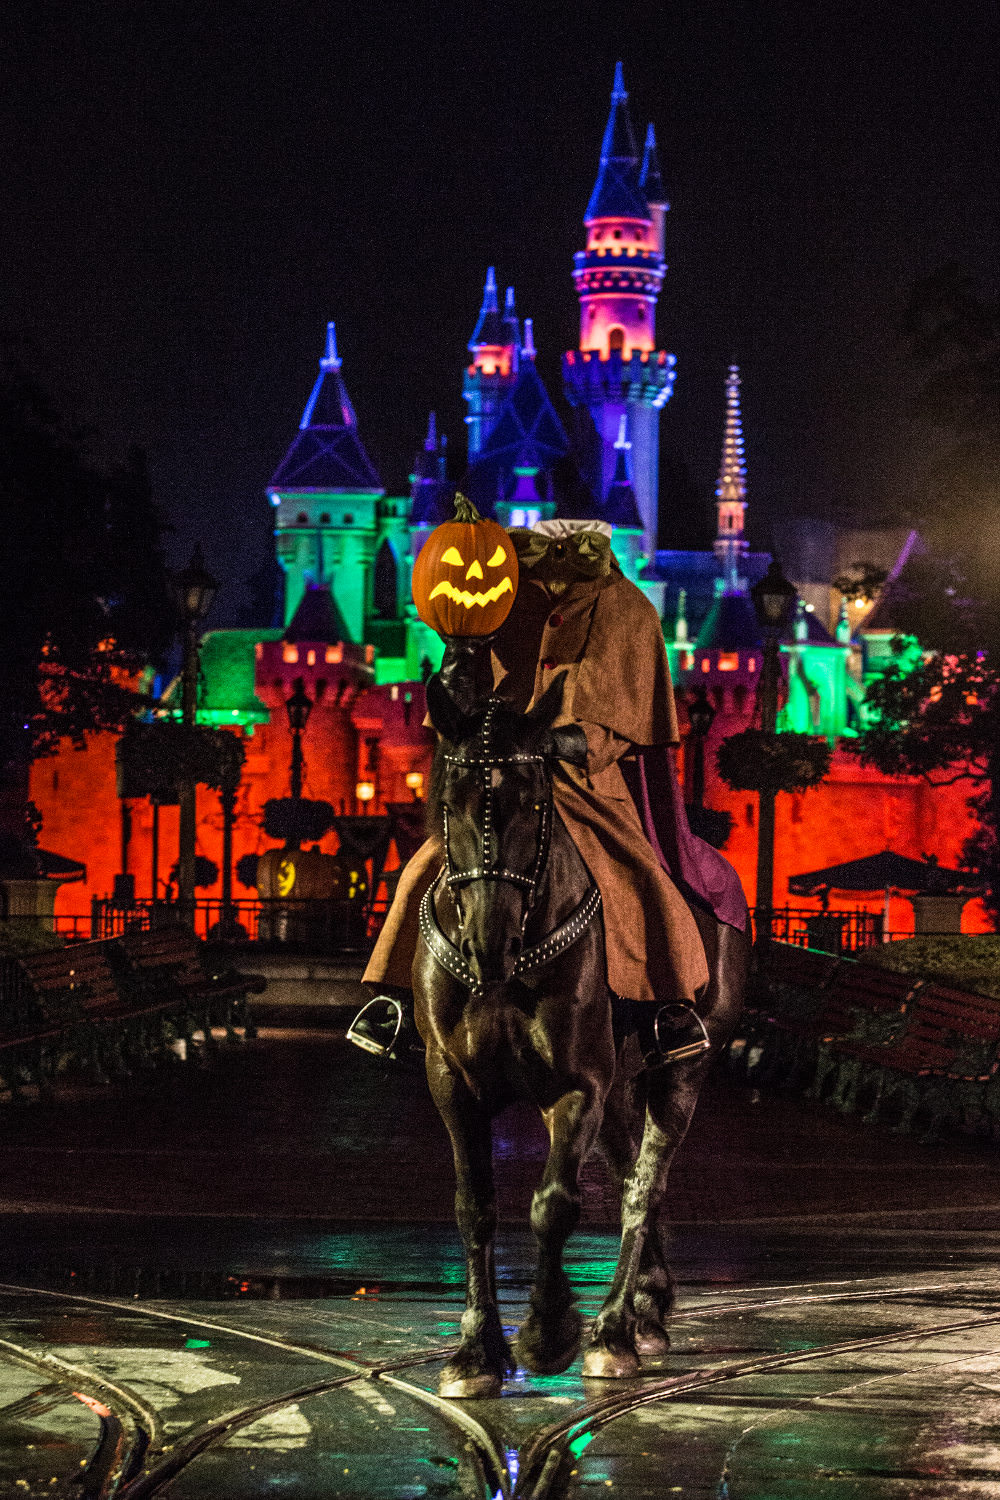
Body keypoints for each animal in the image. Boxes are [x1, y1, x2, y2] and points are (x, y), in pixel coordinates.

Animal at [413, 669, 749, 1392]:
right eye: (449, 802)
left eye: (535, 801)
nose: (489, 944)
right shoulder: (452, 1085)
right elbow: (474, 1206)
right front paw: (476, 1350)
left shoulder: (577, 1086)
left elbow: (554, 1204)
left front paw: (546, 1332)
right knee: (629, 1175)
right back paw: (647, 1304)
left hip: (680, 1070)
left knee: (644, 1185)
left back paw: (617, 1330)